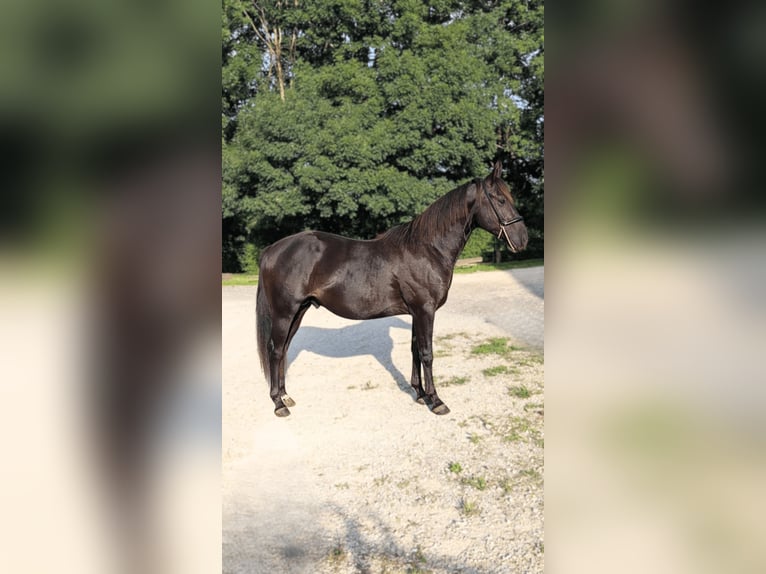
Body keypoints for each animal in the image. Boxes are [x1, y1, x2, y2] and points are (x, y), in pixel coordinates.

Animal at [256, 161, 528, 417]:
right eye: (500, 199)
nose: (523, 239)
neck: (426, 249)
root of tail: (271, 250)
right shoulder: (425, 310)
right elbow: (427, 353)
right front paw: (436, 401)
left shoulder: (417, 312)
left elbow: (415, 350)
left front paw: (420, 394)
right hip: (284, 313)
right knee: (276, 351)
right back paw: (279, 404)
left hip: (298, 312)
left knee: (283, 350)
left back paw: (286, 396)